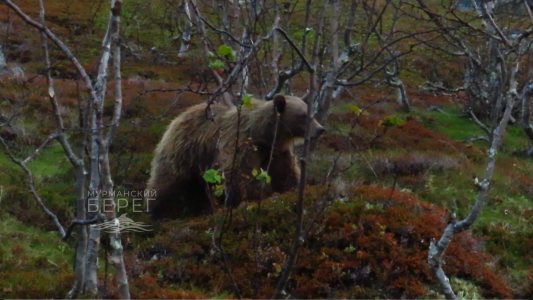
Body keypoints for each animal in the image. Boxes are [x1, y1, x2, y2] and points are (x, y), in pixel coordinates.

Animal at [144, 95, 324, 219]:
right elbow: (237, 171)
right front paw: (240, 202)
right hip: (184, 150)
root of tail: (176, 118)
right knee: (167, 180)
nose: (321, 130)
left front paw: (294, 188)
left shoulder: (274, 151)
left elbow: (285, 173)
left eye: (312, 114)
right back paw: (156, 212)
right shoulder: (241, 142)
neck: (264, 133)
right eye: (304, 115)